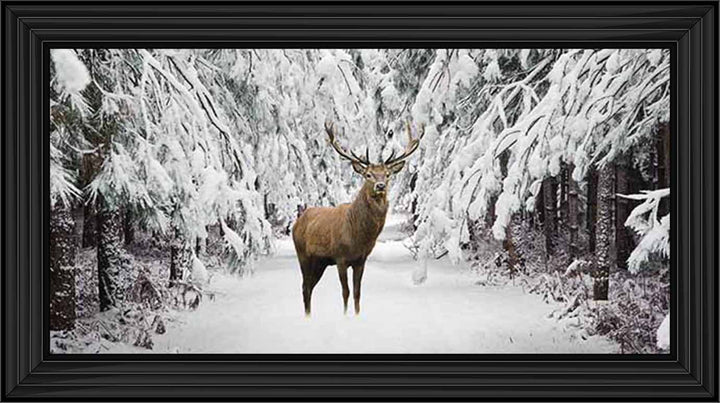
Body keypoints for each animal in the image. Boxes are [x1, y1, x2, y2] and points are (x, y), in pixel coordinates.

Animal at [292, 120, 423, 317]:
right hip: (303, 255)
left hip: (320, 262)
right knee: (305, 287)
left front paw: (357, 315)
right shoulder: (340, 257)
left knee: (309, 287)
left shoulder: (361, 260)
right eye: (368, 174)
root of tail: (297, 221)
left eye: (387, 174)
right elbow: (345, 292)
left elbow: (357, 292)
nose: (380, 185)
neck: (358, 236)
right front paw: (345, 316)